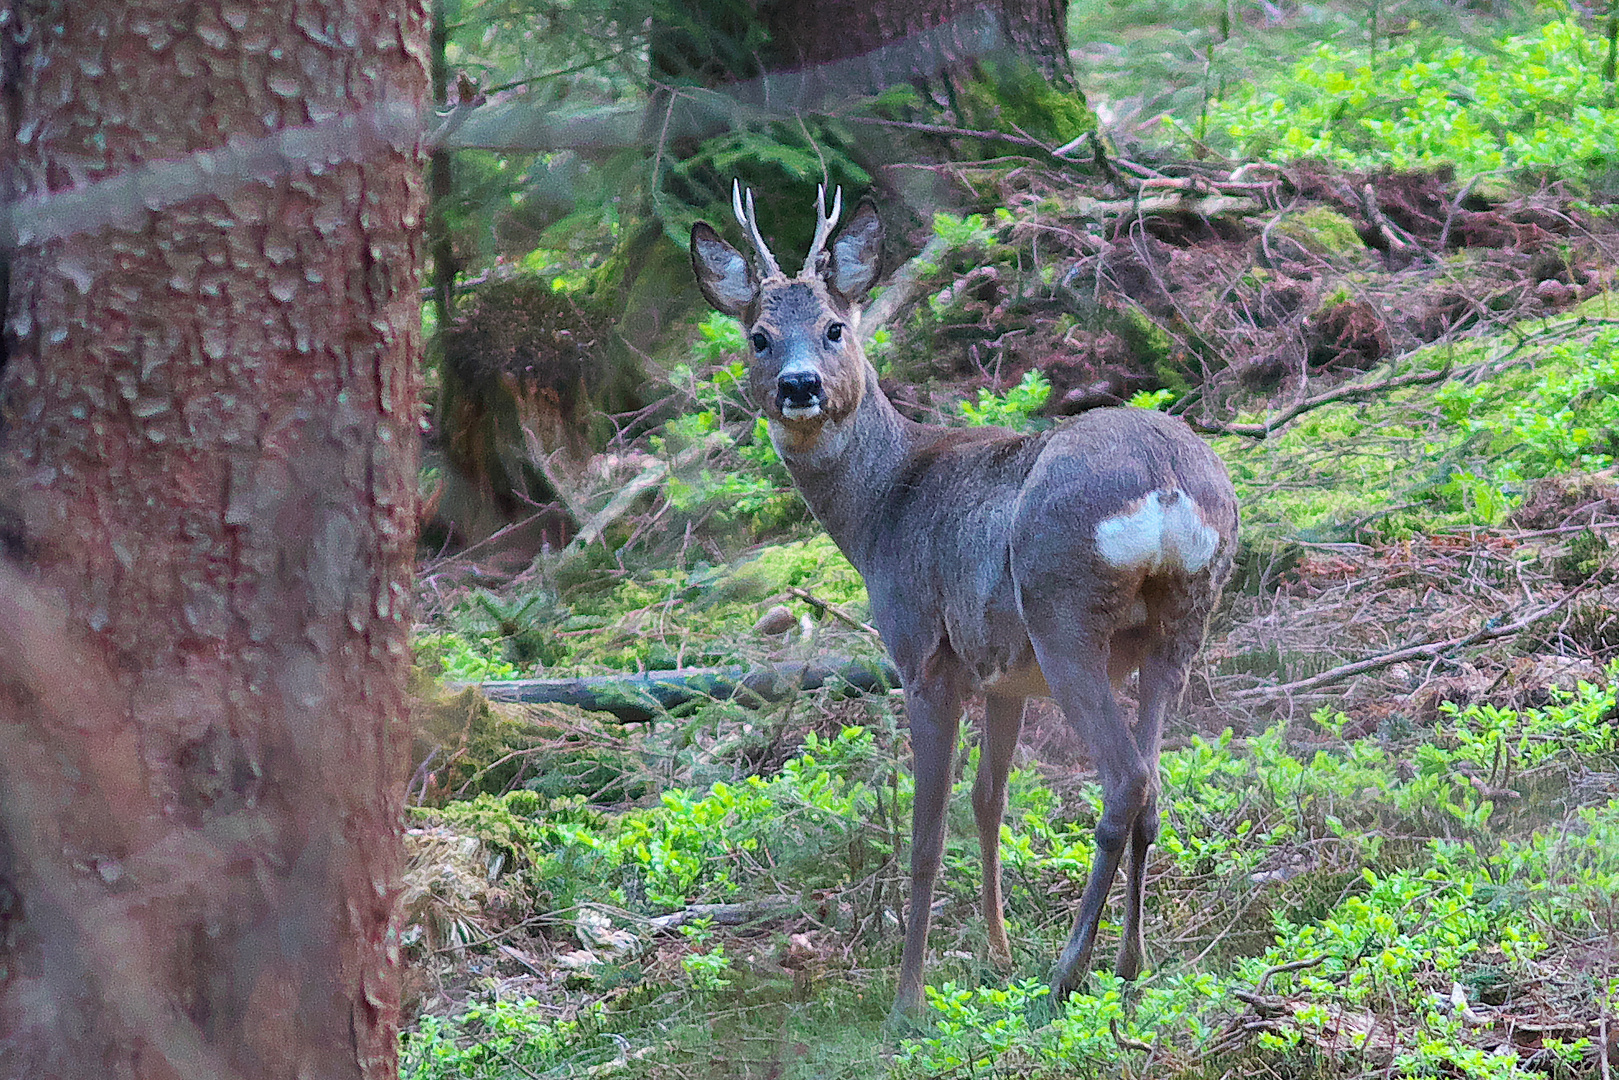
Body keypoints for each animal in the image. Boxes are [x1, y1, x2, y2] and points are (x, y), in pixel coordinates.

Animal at [686, 181, 1236, 1016]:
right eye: (757, 336)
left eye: (835, 327)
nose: (798, 387)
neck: (879, 509)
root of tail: (1167, 482)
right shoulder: (1003, 674)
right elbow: (988, 801)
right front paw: (996, 953)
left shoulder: (923, 653)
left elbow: (925, 830)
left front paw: (908, 1000)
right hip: (1178, 624)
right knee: (1152, 791)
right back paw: (1128, 963)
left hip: (1063, 612)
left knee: (1124, 782)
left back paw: (1067, 971)